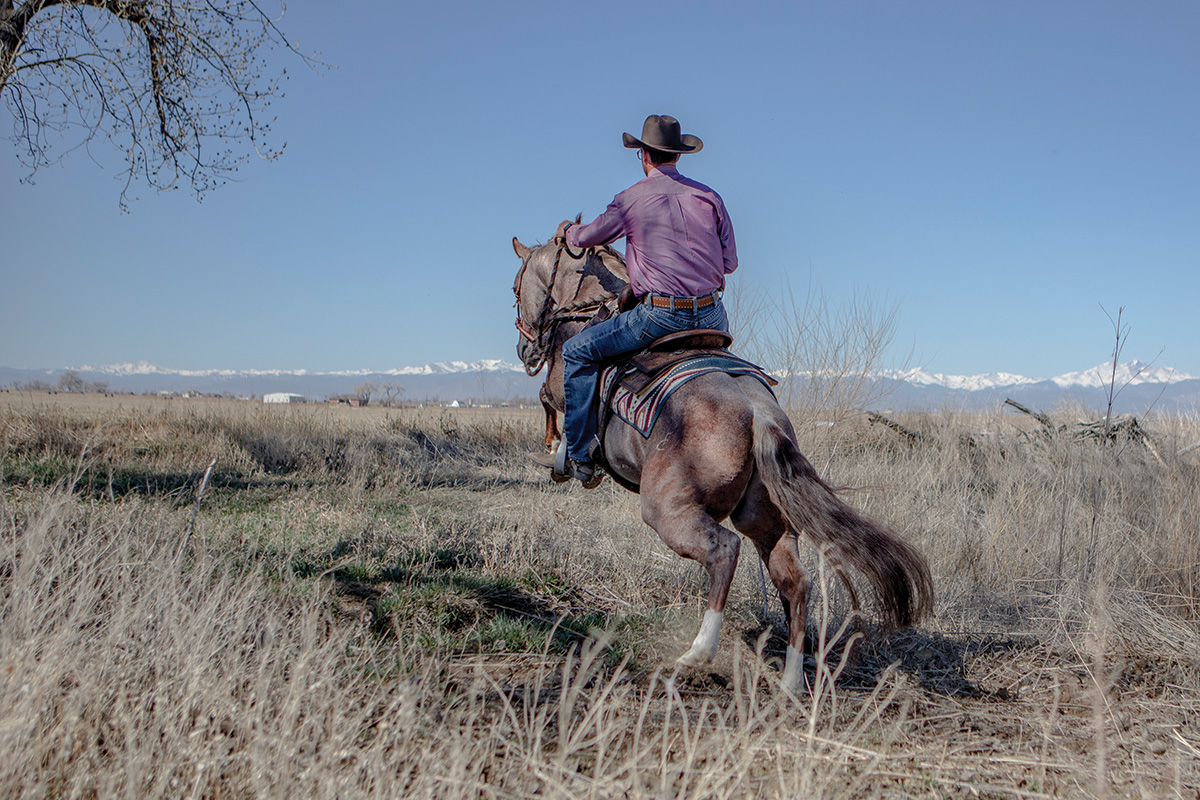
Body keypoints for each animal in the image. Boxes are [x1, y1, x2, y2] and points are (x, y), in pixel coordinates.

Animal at [511, 230, 931, 690]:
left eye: (516, 289)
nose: (525, 349)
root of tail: (759, 412)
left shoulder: (563, 381)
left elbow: (548, 401)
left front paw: (559, 455)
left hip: (669, 511)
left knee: (724, 550)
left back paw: (698, 651)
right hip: (766, 521)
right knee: (795, 582)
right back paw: (789, 679)